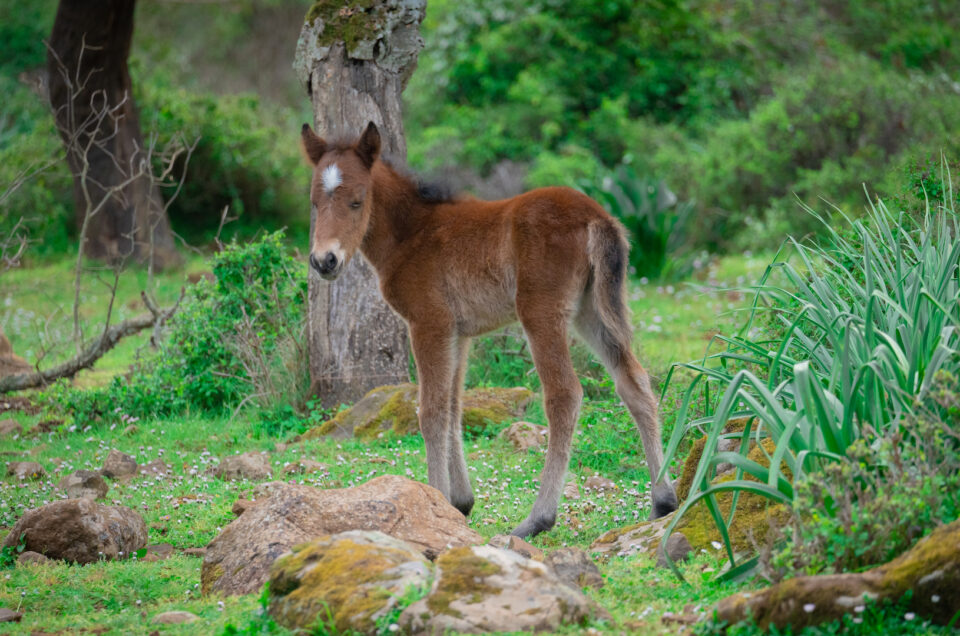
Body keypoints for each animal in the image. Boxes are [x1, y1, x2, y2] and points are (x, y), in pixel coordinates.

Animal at [300, 120, 676, 536]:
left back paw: (538, 518)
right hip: (591, 311)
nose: (325, 261)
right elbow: (453, 406)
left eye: (357, 200)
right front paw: (460, 501)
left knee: (564, 395)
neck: (412, 232)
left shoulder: (428, 323)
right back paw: (663, 501)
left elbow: (431, 411)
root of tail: (598, 217)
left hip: (542, 313)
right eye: (314, 203)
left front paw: (436, 497)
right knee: (634, 382)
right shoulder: (458, 333)